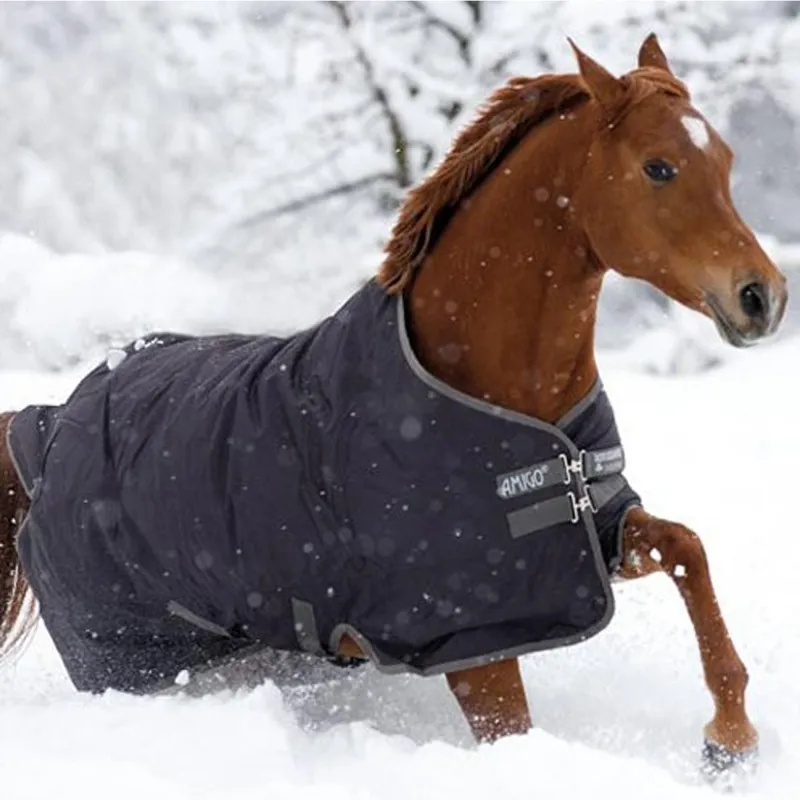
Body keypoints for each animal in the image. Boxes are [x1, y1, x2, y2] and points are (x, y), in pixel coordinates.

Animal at [0, 34, 787, 779]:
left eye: (724, 159)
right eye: (658, 167)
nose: (763, 296)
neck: (501, 394)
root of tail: (47, 425)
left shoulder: (589, 537)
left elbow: (688, 549)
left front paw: (729, 742)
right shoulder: (469, 635)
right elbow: (512, 732)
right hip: (138, 660)